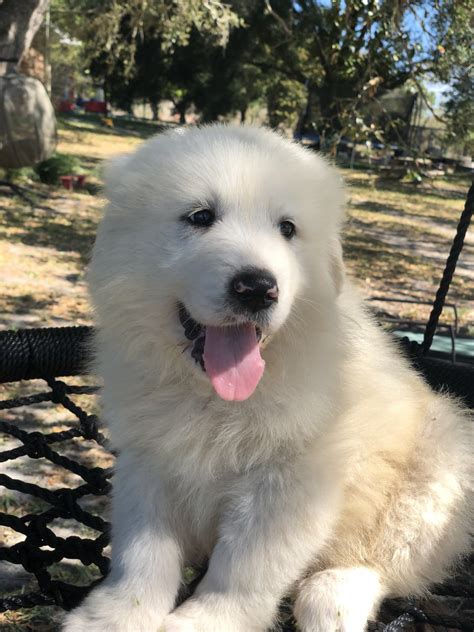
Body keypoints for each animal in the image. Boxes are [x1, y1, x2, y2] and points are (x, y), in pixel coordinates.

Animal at [63, 124, 470, 632]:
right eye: (200, 217)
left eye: (288, 229)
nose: (257, 288)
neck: (211, 396)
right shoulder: (148, 462)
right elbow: (142, 554)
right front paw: (115, 614)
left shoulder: (289, 483)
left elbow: (245, 566)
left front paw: (205, 620)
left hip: (437, 469)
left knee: (381, 562)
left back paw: (332, 598)